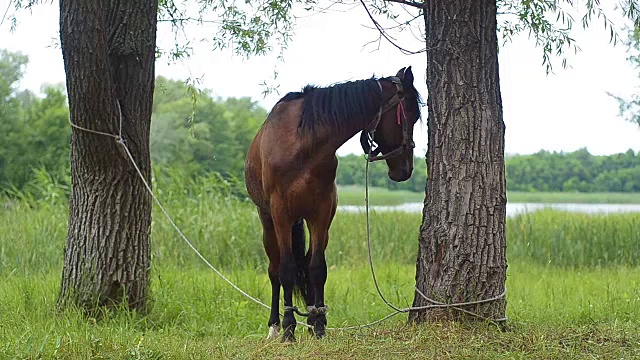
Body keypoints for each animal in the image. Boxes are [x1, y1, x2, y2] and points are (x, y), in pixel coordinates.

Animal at [244, 67, 420, 340]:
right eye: (411, 115)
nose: (406, 169)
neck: (303, 143)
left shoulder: (322, 213)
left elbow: (317, 268)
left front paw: (318, 325)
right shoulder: (281, 213)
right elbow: (286, 269)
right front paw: (288, 328)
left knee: (306, 264)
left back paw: (311, 316)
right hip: (268, 222)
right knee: (274, 270)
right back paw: (275, 325)